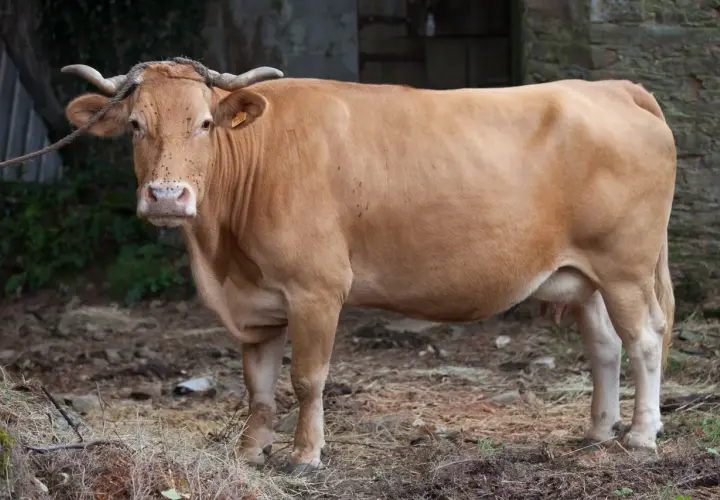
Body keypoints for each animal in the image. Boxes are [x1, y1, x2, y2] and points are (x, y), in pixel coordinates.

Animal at [62, 60, 676, 474]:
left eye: (205, 123)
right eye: (136, 125)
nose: (167, 196)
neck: (221, 255)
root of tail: (611, 87)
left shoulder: (316, 289)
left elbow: (307, 378)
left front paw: (305, 455)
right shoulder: (255, 302)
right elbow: (258, 384)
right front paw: (250, 451)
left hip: (625, 268)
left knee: (645, 339)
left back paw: (642, 435)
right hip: (586, 277)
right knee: (605, 345)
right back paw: (598, 431)